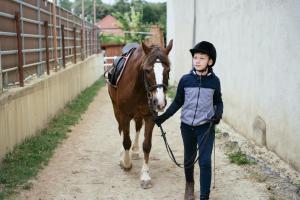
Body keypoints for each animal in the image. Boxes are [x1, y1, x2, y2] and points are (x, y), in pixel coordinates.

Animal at [108, 40, 173, 188]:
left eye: (168, 70)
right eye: (147, 70)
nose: (160, 103)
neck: (139, 87)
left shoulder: (150, 116)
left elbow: (147, 145)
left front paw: (145, 176)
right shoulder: (124, 115)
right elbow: (126, 141)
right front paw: (126, 163)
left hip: (138, 115)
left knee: (137, 128)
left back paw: (136, 150)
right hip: (117, 110)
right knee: (121, 130)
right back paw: (123, 155)